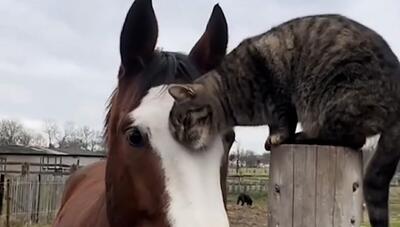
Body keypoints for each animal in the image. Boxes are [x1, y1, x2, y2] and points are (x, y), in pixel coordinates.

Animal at [168, 14, 400, 227]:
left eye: (183, 121)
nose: (182, 139)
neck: (230, 99)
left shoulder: (279, 96)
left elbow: (283, 120)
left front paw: (278, 137)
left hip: (336, 96)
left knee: (352, 138)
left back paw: (305, 136)